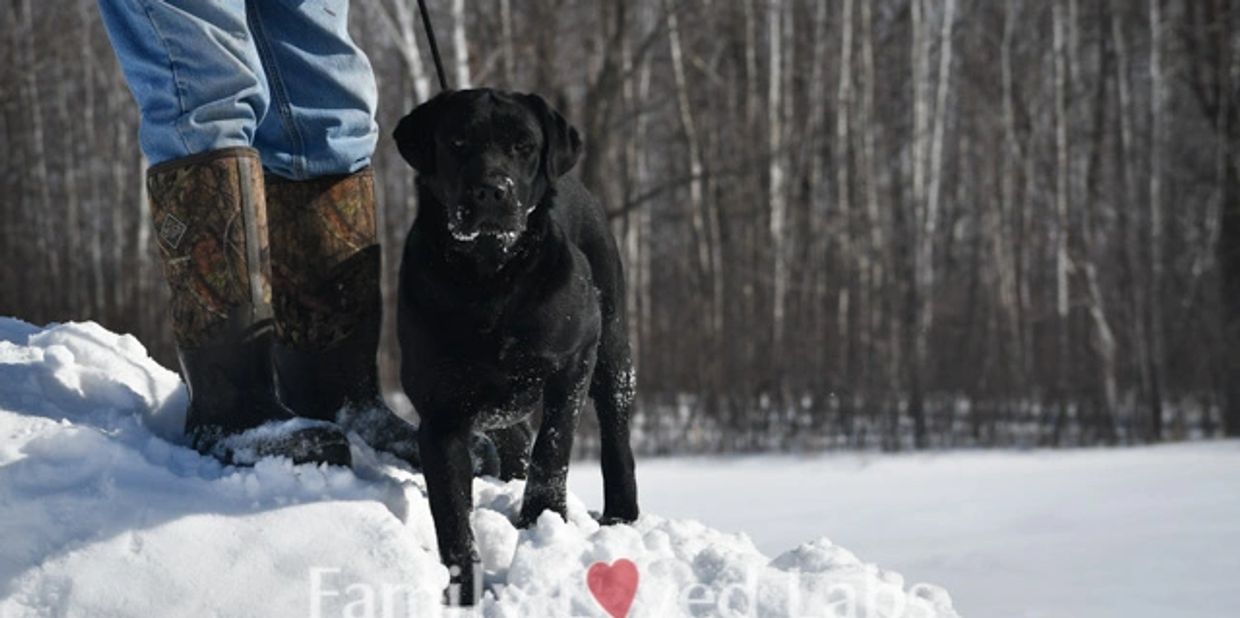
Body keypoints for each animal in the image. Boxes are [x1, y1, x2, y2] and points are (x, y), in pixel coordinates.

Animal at [391, 88, 639, 603]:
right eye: (458, 141)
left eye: (523, 145)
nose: (492, 189)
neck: (489, 279)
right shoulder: (440, 413)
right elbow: (451, 516)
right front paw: (464, 593)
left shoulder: (575, 358)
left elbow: (553, 447)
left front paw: (540, 520)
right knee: (515, 438)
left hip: (611, 347)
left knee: (615, 433)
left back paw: (621, 514)